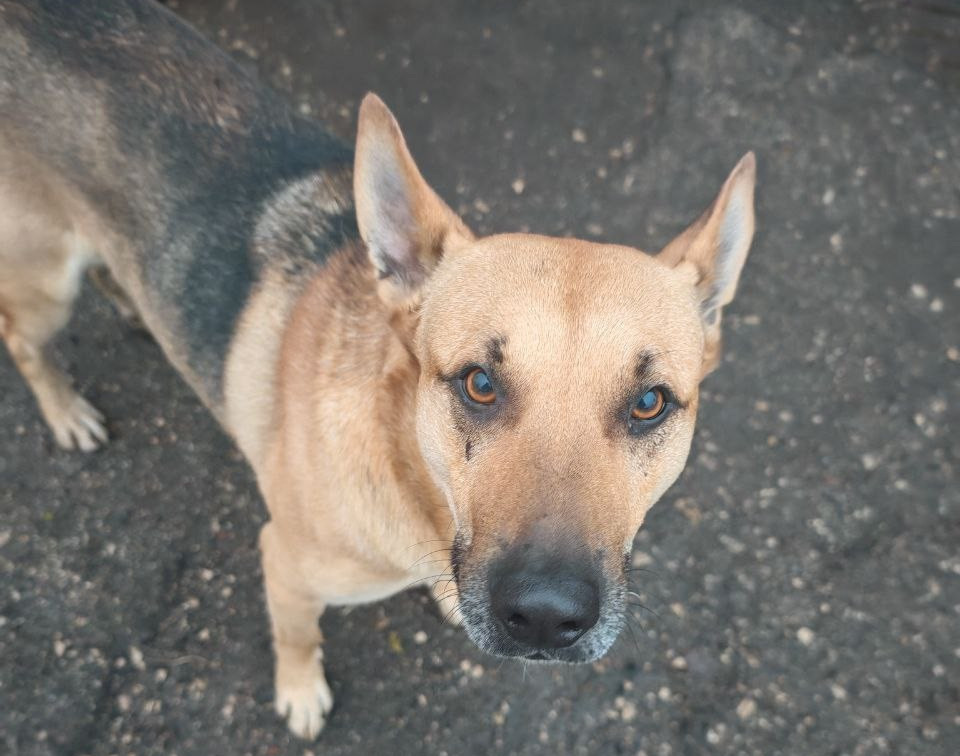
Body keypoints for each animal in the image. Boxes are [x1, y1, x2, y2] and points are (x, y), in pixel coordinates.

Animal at [0, 0, 756, 740]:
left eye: (650, 402)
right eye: (479, 383)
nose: (544, 617)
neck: (417, 486)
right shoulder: (283, 563)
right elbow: (296, 637)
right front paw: (300, 692)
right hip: (44, 284)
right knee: (22, 340)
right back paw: (66, 412)